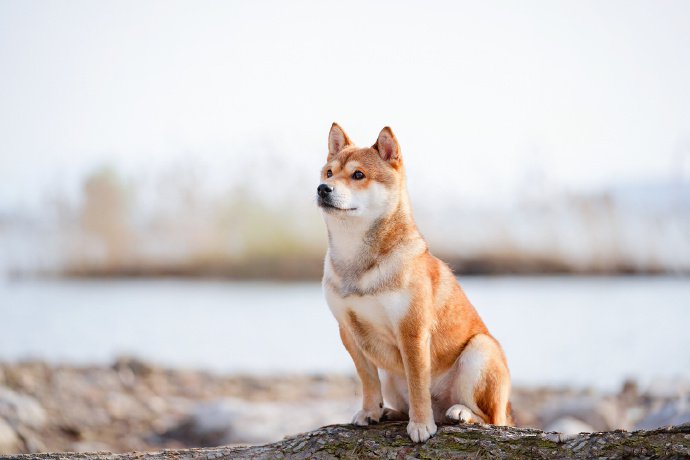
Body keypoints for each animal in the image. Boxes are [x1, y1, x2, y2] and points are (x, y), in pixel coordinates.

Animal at [318, 122, 510, 442]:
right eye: (329, 173)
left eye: (358, 175)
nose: (323, 189)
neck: (358, 262)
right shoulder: (349, 330)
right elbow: (367, 380)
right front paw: (369, 411)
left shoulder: (412, 330)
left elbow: (418, 385)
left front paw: (421, 425)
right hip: (392, 375)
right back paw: (389, 412)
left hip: (480, 351)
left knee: (490, 418)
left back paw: (460, 413)